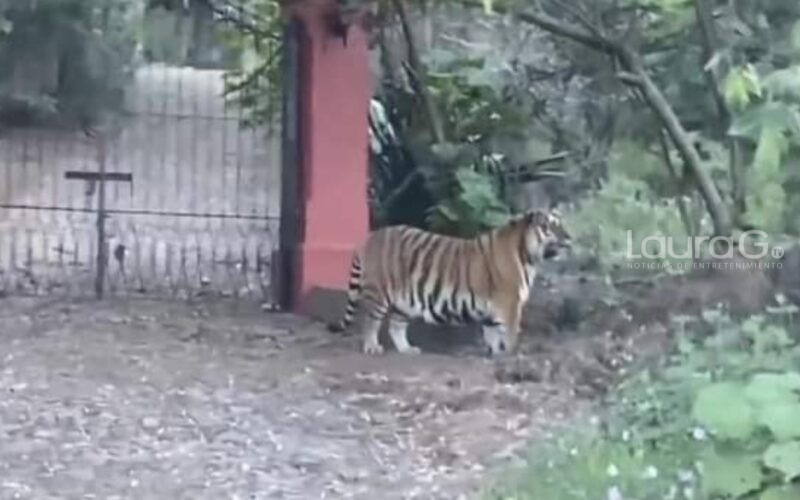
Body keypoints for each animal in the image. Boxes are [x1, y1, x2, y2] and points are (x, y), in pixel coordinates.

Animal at [327, 208, 571, 356]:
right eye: (549, 227)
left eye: (561, 224)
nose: (569, 238)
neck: (528, 256)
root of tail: (369, 237)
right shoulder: (510, 303)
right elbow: (510, 332)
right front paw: (511, 354)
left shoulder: (493, 309)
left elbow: (492, 332)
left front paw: (495, 353)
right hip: (379, 294)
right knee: (370, 321)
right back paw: (371, 347)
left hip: (405, 302)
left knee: (395, 326)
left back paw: (407, 349)